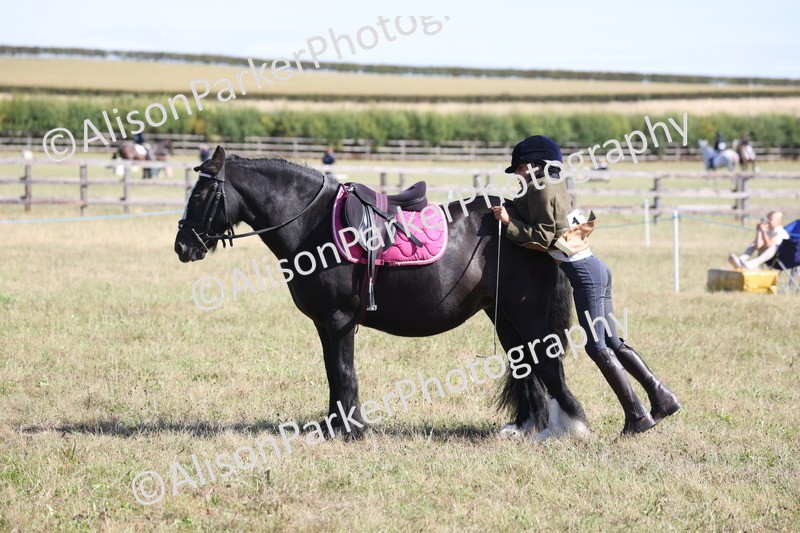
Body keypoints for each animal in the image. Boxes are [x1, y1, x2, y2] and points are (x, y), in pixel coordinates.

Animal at [174, 146, 589, 441]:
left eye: (201, 195)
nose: (182, 247)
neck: (313, 224)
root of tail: (533, 227)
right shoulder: (325, 324)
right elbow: (332, 371)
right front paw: (333, 425)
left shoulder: (338, 319)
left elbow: (344, 372)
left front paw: (351, 430)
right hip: (504, 317)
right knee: (526, 364)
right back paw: (527, 428)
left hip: (527, 314)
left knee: (546, 362)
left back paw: (571, 427)